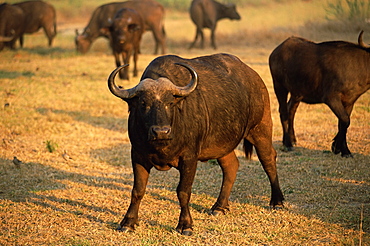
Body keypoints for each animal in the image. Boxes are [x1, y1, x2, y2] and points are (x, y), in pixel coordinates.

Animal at [107, 53, 284, 234]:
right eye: (144, 104)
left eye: (170, 103)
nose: (161, 131)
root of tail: (254, 77)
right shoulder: (138, 155)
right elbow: (137, 191)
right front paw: (128, 222)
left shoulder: (189, 158)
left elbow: (183, 191)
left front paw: (185, 224)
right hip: (223, 145)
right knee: (231, 166)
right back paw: (219, 206)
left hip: (261, 128)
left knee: (268, 159)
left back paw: (277, 201)